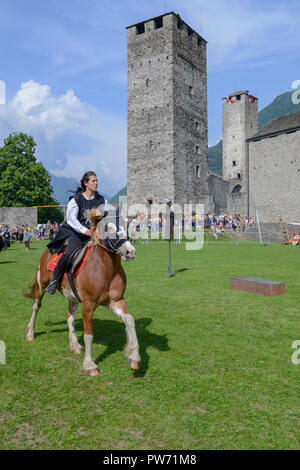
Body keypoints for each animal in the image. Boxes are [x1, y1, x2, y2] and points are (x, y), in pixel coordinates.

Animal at [24, 207, 140, 376]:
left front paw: (134, 357)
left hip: (72, 297)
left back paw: (74, 345)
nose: (130, 252)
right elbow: (89, 334)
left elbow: (130, 320)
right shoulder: (88, 304)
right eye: (109, 228)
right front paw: (90, 365)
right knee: (35, 307)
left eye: (126, 226)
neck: (106, 269)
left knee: (69, 317)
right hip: (41, 286)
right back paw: (30, 333)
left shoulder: (115, 301)